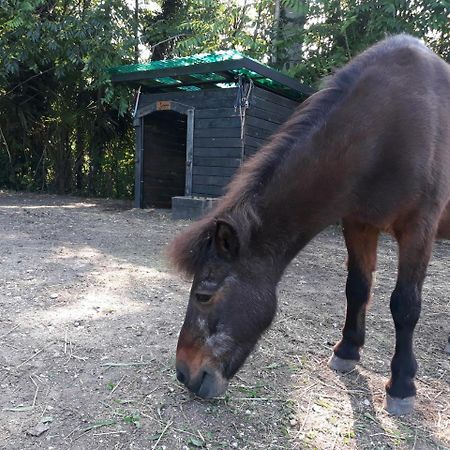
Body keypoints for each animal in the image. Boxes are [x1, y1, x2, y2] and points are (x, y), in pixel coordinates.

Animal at [169, 35, 450, 414]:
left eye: (203, 294)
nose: (184, 373)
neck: (386, 127)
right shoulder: (358, 224)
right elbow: (357, 288)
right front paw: (347, 351)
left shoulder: (419, 229)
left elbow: (405, 305)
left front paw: (402, 385)